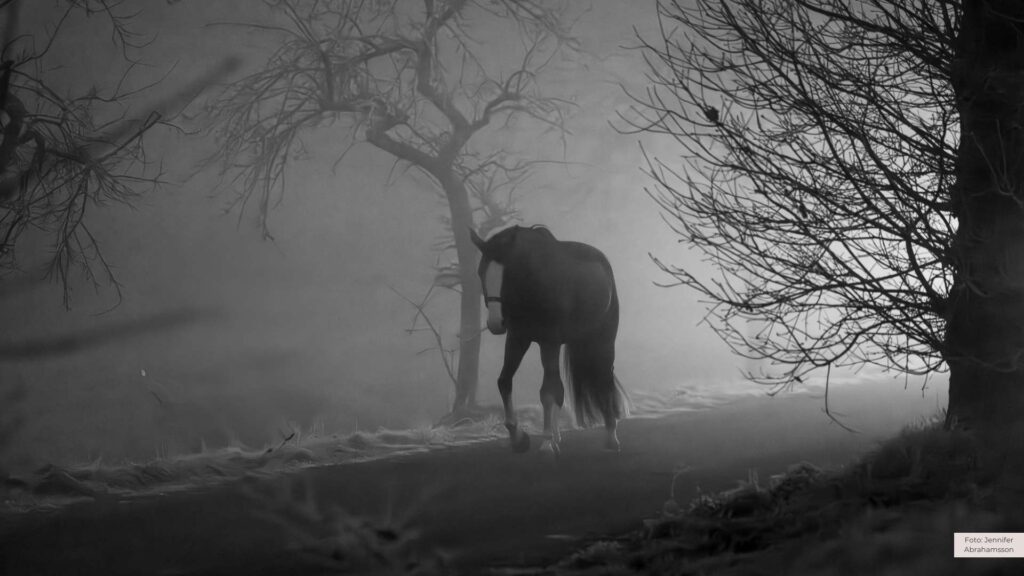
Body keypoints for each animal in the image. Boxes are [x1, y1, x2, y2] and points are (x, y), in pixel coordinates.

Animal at [470, 225, 628, 456]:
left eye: (509, 274)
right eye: (481, 273)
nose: (495, 323)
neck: (533, 283)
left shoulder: (549, 342)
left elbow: (547, 392)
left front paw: (545, 443)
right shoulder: (518, 338)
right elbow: (505, 381)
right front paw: (519, 438)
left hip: (602, 340)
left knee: (604, 379)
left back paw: (611, 437)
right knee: (560, 389)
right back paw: (557, 436)